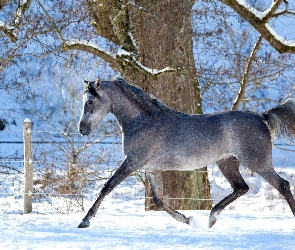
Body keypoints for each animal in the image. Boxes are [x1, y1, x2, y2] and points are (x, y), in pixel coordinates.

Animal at [78, 76, 295, 229]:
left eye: (90, 102)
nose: (82, 129)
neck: (142, 121)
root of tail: (261, 116)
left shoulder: (132, 162)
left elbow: (108, 186)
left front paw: (85, 221)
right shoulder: (151, 169)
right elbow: (158, 200)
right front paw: (187, 219)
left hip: (257, 162)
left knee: (282, 185)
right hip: (227, 162)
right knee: (241, 188)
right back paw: (211, 219)